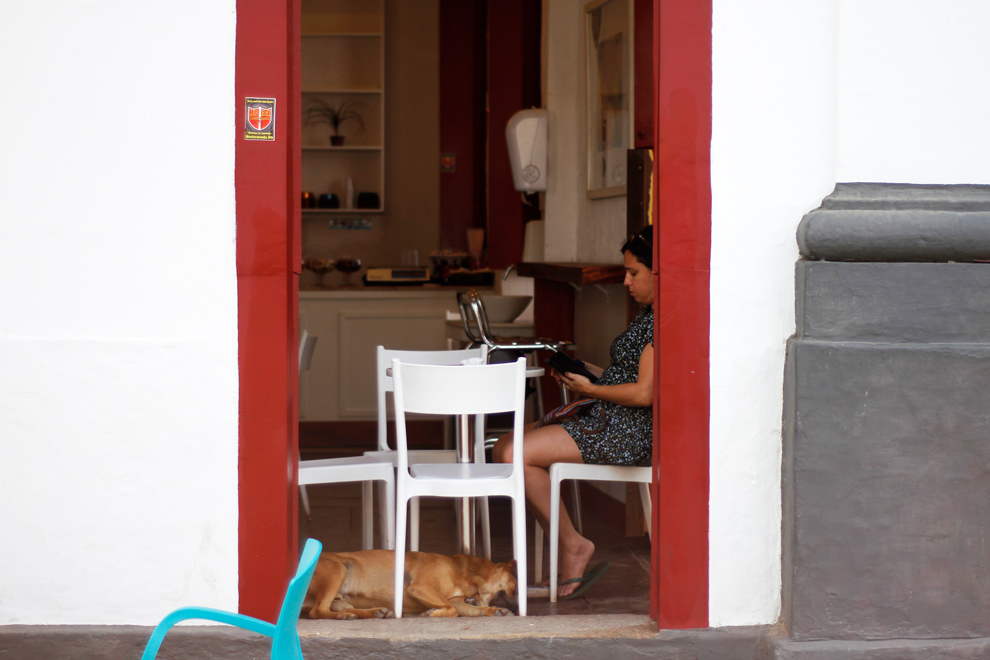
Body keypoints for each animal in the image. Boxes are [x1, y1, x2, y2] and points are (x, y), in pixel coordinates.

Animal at [300, 548, 520, 620]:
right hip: (338, 569)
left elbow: (467, 609)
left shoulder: (456, 600)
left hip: (341, 595)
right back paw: (345, 616)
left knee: (335, 606)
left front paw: (495, 611)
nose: (518, 608)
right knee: (318, 611)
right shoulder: (420, 587)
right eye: (515, 589)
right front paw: (432, 613)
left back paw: (375, 612)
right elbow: (452, 609)